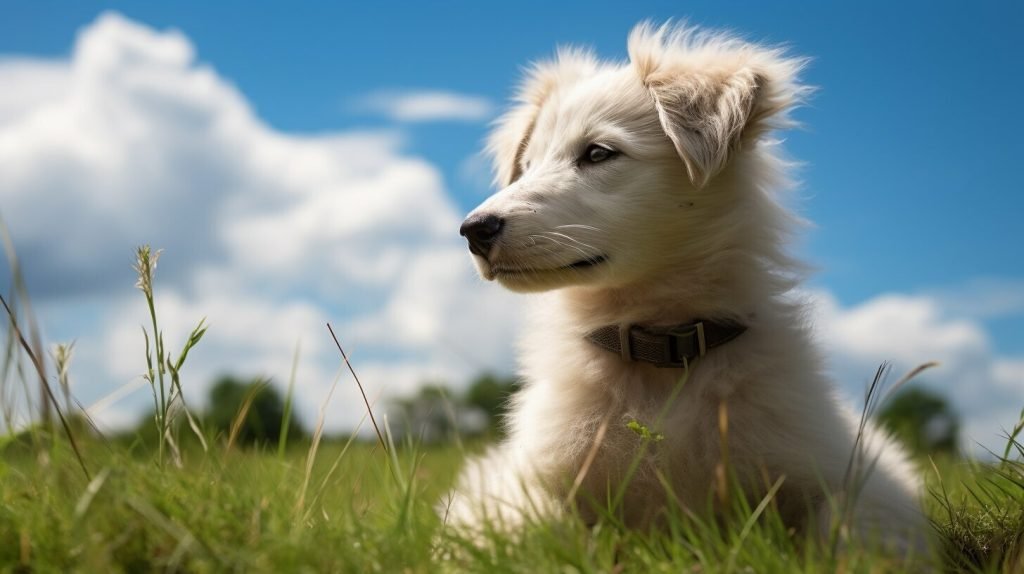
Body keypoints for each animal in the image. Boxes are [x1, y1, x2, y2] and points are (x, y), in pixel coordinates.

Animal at [444, 23, 925, 552]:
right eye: (526, 166)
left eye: (598, 153)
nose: (473, 231)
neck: (661, 350)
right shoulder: (527, 484)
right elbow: (545, 533)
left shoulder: (841, 469)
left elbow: (849, 529)